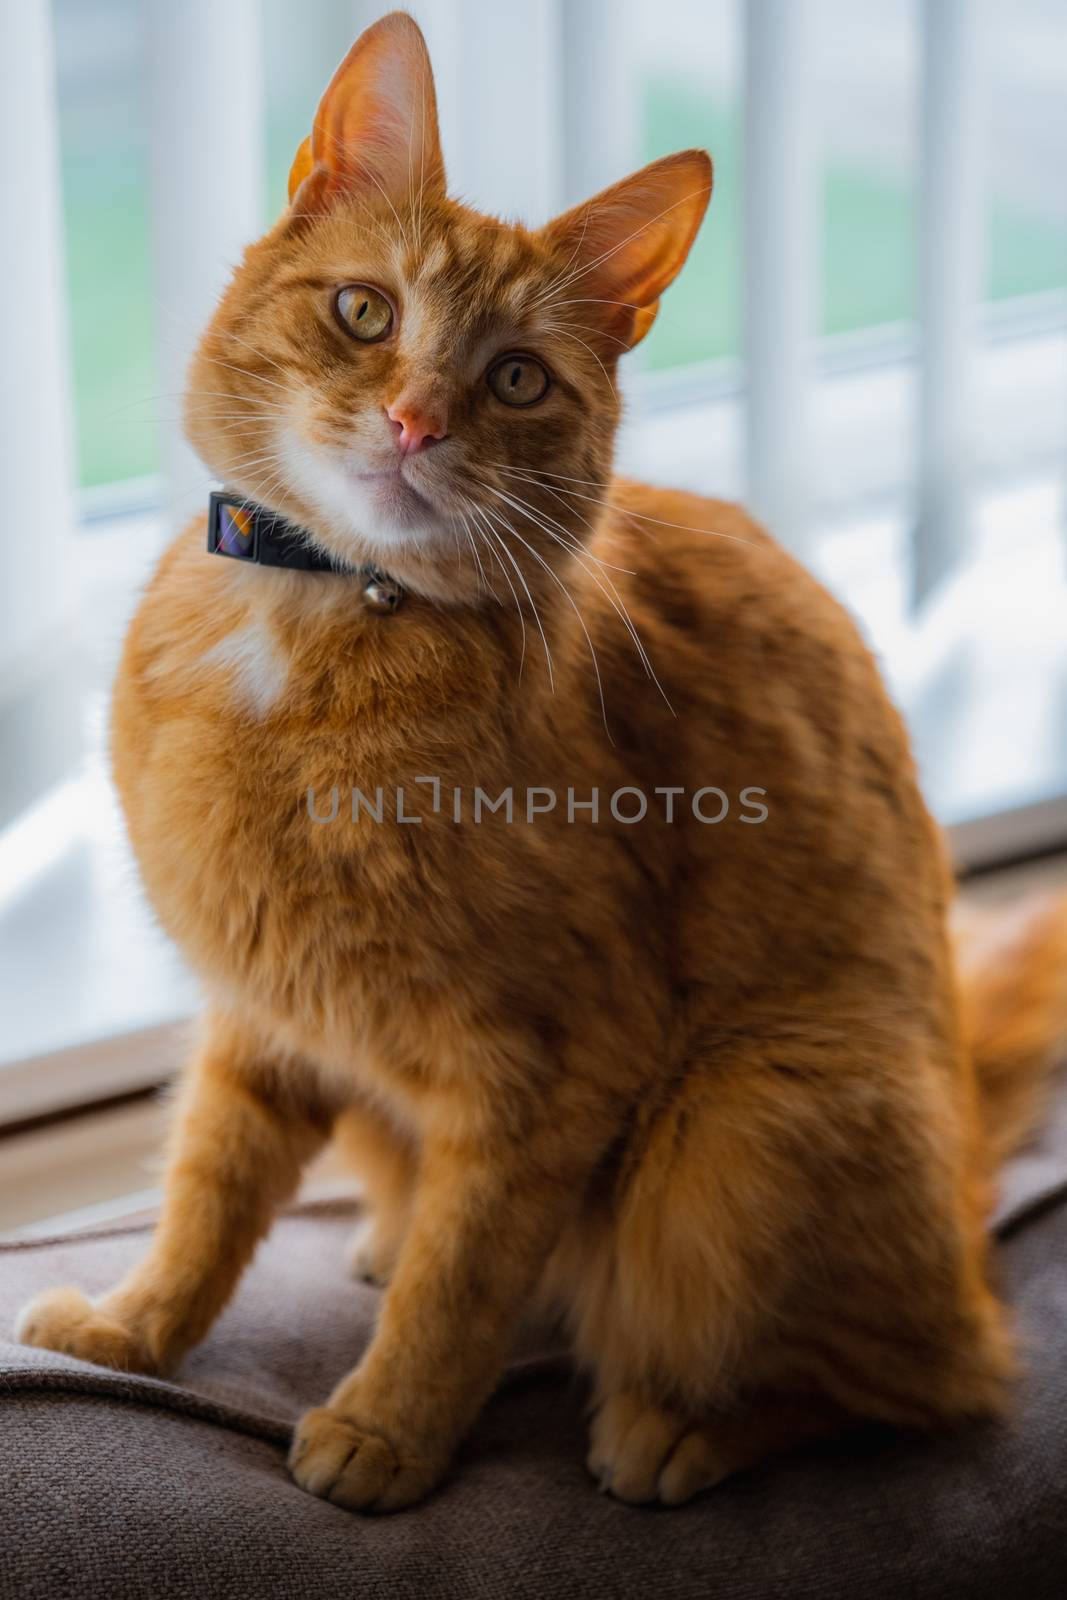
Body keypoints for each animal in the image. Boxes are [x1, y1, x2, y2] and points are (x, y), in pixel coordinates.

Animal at [18, 15, 1067, 1510]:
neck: (320, 623)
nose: (414, 421)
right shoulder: (259, 1016)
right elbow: (204, 1197)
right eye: (365, 313)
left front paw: (388, 1426)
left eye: (515, 377)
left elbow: (462, 1279)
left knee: (933, 1379)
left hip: (739, 1127)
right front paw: (133, 1326)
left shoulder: (546, 1069)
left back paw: (675, 1429)